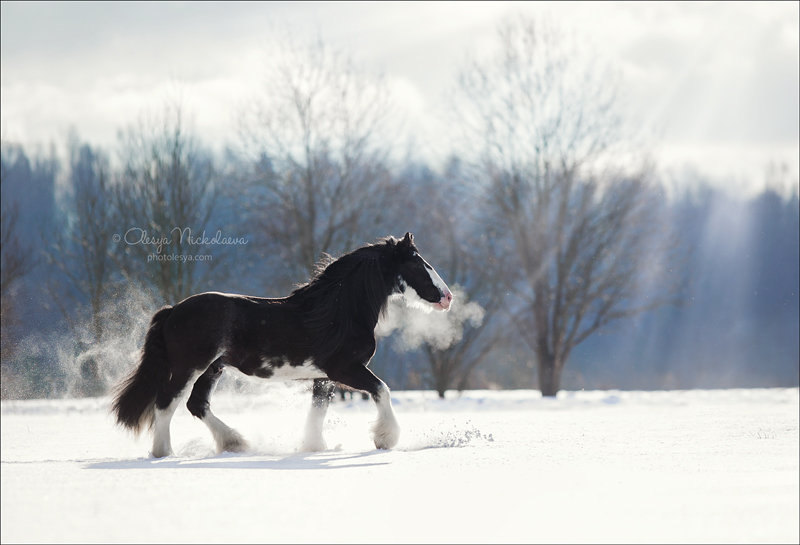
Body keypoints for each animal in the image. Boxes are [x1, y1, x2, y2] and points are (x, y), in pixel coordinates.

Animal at [109, 232, 454, 456]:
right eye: (418, 263)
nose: (447, 297)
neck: (339, 311)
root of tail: (172, 310)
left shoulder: (324, 376)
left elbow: (318, 409)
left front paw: (314, 447)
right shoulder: (345, 369)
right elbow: (382, 390)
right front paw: (385, 439)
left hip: (212, 369)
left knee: (197, 405)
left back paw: (235, 443)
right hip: (189, 367)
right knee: (166, 403)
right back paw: (163, 453)